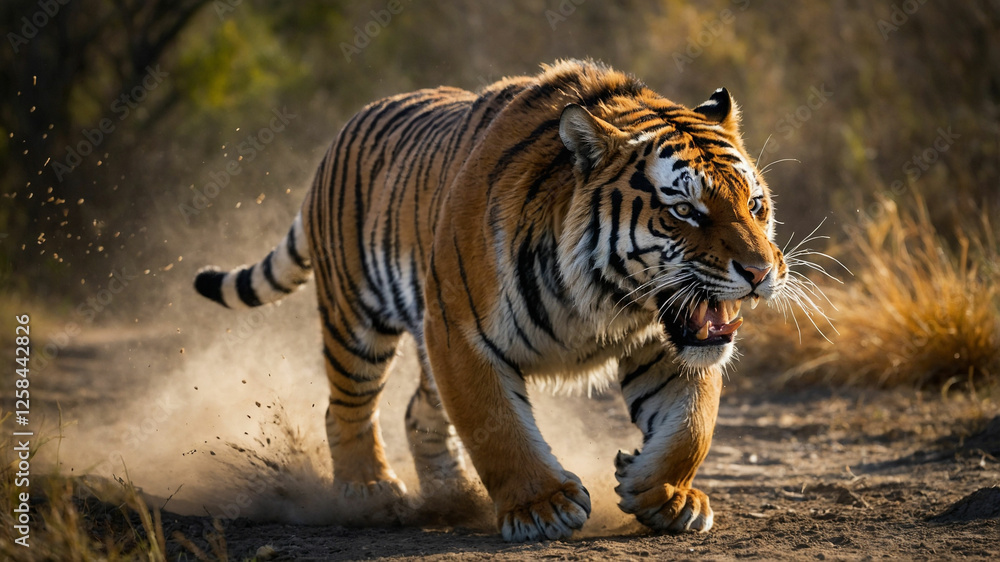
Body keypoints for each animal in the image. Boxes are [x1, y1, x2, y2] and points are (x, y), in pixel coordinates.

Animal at [194, 59, 786, 541]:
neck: (606, 300)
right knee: (347, 407)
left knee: (417, 412)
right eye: (685, 211)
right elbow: (498, 426)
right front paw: (541, 508)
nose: (761, 272)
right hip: (356, 320)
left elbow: (692, 424)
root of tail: (345, 130)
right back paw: (369, 492)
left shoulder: (667, 343)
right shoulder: (460, 334)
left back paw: (454, 497)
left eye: (754, 204)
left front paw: (662, 494)